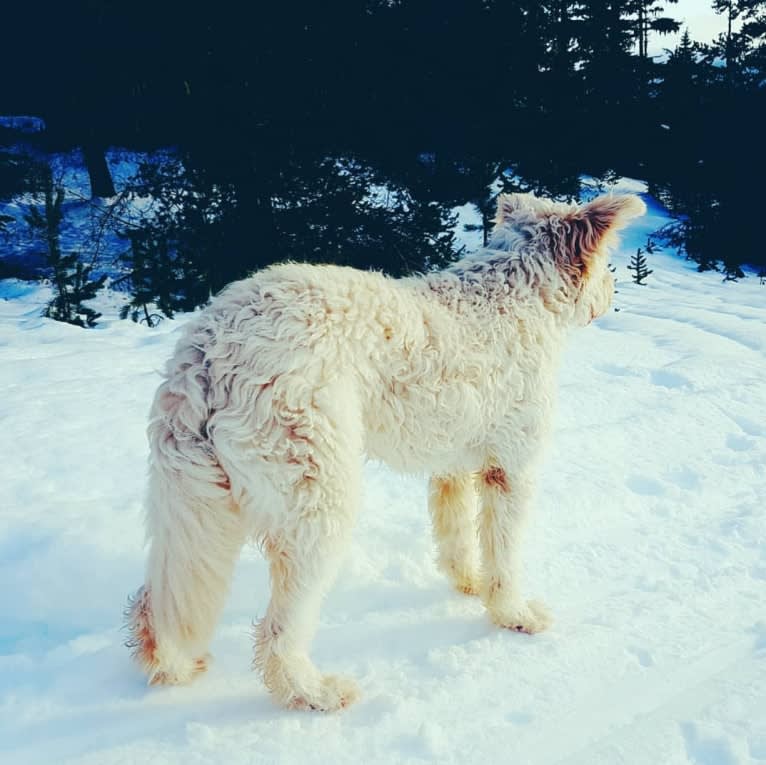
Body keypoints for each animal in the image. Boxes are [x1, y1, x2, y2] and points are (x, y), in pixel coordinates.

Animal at [126, 191, 648, 712]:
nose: (613, 292)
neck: (518, 290)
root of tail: (207, 352)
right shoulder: (511, 471)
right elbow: (504, 556)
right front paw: (513, 615)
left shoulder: (452, 467)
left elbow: (458, 539)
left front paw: (468, 585)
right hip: (317, 506)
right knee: (277, 632)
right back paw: (312, 692)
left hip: (194, 509)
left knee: (157, 603)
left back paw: (173, 666)